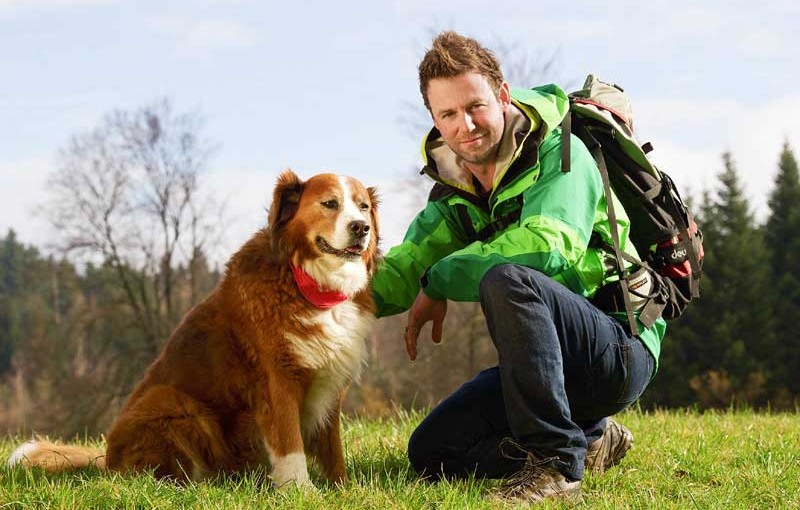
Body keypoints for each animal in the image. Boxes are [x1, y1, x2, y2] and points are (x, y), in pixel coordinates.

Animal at [7, 170, 382, 490]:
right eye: (330, 203)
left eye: (363, 206)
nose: (361, 227)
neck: (305, 278)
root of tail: (108, 461)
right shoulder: (278, 381)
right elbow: (291, 446)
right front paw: (302, 492)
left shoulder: (330, 383)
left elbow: (332, 447)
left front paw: (341, 488)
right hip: (171, 400)